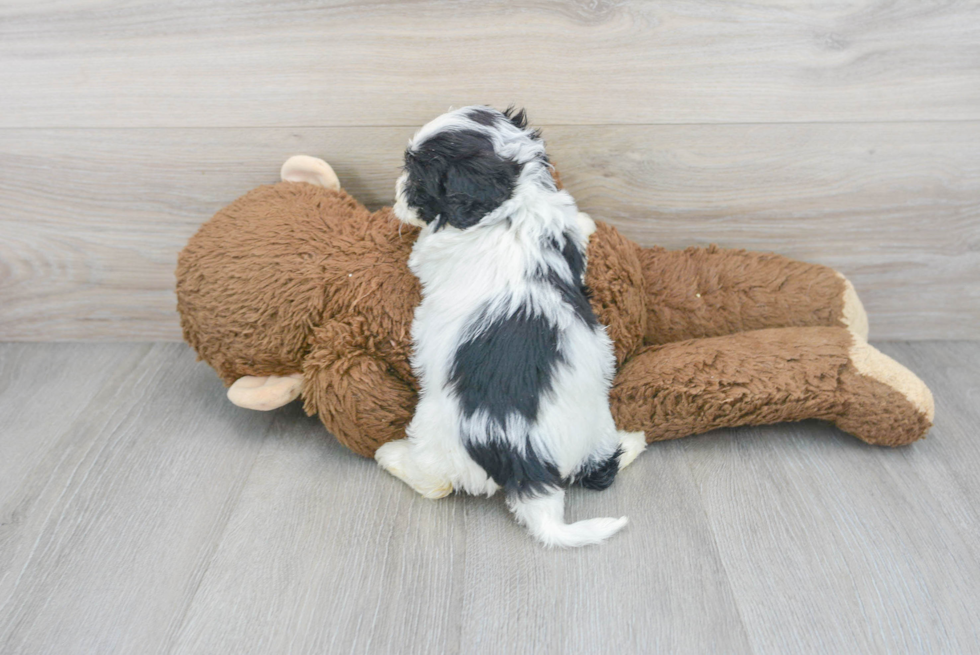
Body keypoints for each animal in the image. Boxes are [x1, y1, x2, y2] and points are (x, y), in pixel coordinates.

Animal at [374, 106, 644, 548]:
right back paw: (633, 441)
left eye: (416, 179)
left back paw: (391, 456)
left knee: (436, 483)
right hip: (595, 424)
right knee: (604, 461)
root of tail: (529, 465)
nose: (395, 193)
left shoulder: (432, 249)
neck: (514, 207)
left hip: (434, 428)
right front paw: (590, 223)